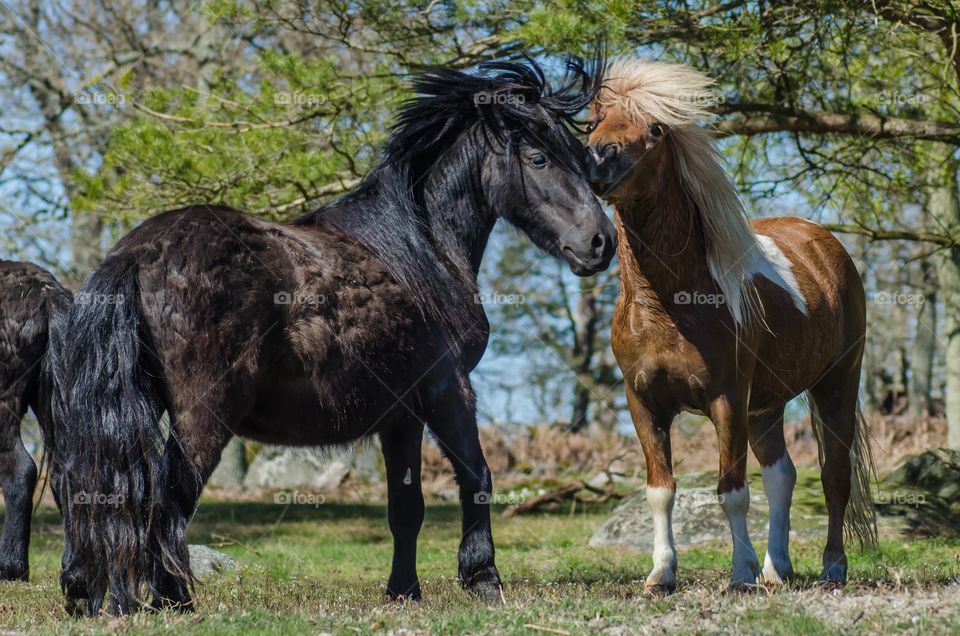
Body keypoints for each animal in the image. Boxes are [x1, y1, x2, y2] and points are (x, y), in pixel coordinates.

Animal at [54, 56, 616, 616]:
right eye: (539, 157)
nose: (601, 243)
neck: (422, 248)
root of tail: (138, 255)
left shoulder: (401, 414)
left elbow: (406, 506)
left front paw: (404, 590)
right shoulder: (448, 389)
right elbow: (476, 476)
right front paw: (483, 578)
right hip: (202, 418)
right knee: (168, 501)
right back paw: (174, 600)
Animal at [584, 58, 876, 592]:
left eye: (655, 129)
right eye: (592, 124)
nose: (599, 161)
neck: (669, 306)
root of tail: (822, 240)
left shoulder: (727, 399)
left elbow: (732, 490)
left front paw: (740, 573)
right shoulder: (644, 404)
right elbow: (660, 489)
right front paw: (661, 573)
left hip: (835, 384)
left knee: (834, 476)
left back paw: (831, 567)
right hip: (766, 405)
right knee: (782, 475)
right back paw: (777, 568)